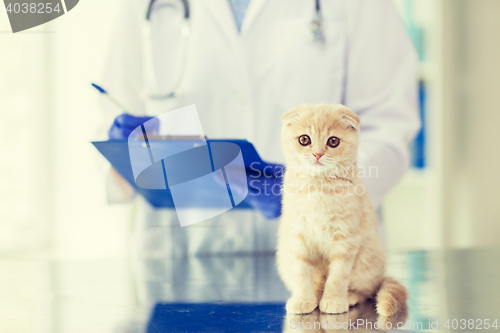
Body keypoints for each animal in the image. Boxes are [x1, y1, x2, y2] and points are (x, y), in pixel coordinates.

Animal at [276, 103, 408, 314]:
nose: (317, 154)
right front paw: (303, 299)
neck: (318, 186)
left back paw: (349, 297)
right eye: (304, 139)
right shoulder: (298, 236)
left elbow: (338, 276)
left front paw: (334, 300)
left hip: (366, 265)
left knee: (364, 291)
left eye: (333, 141)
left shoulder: (346, 238)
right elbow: (301, 273)